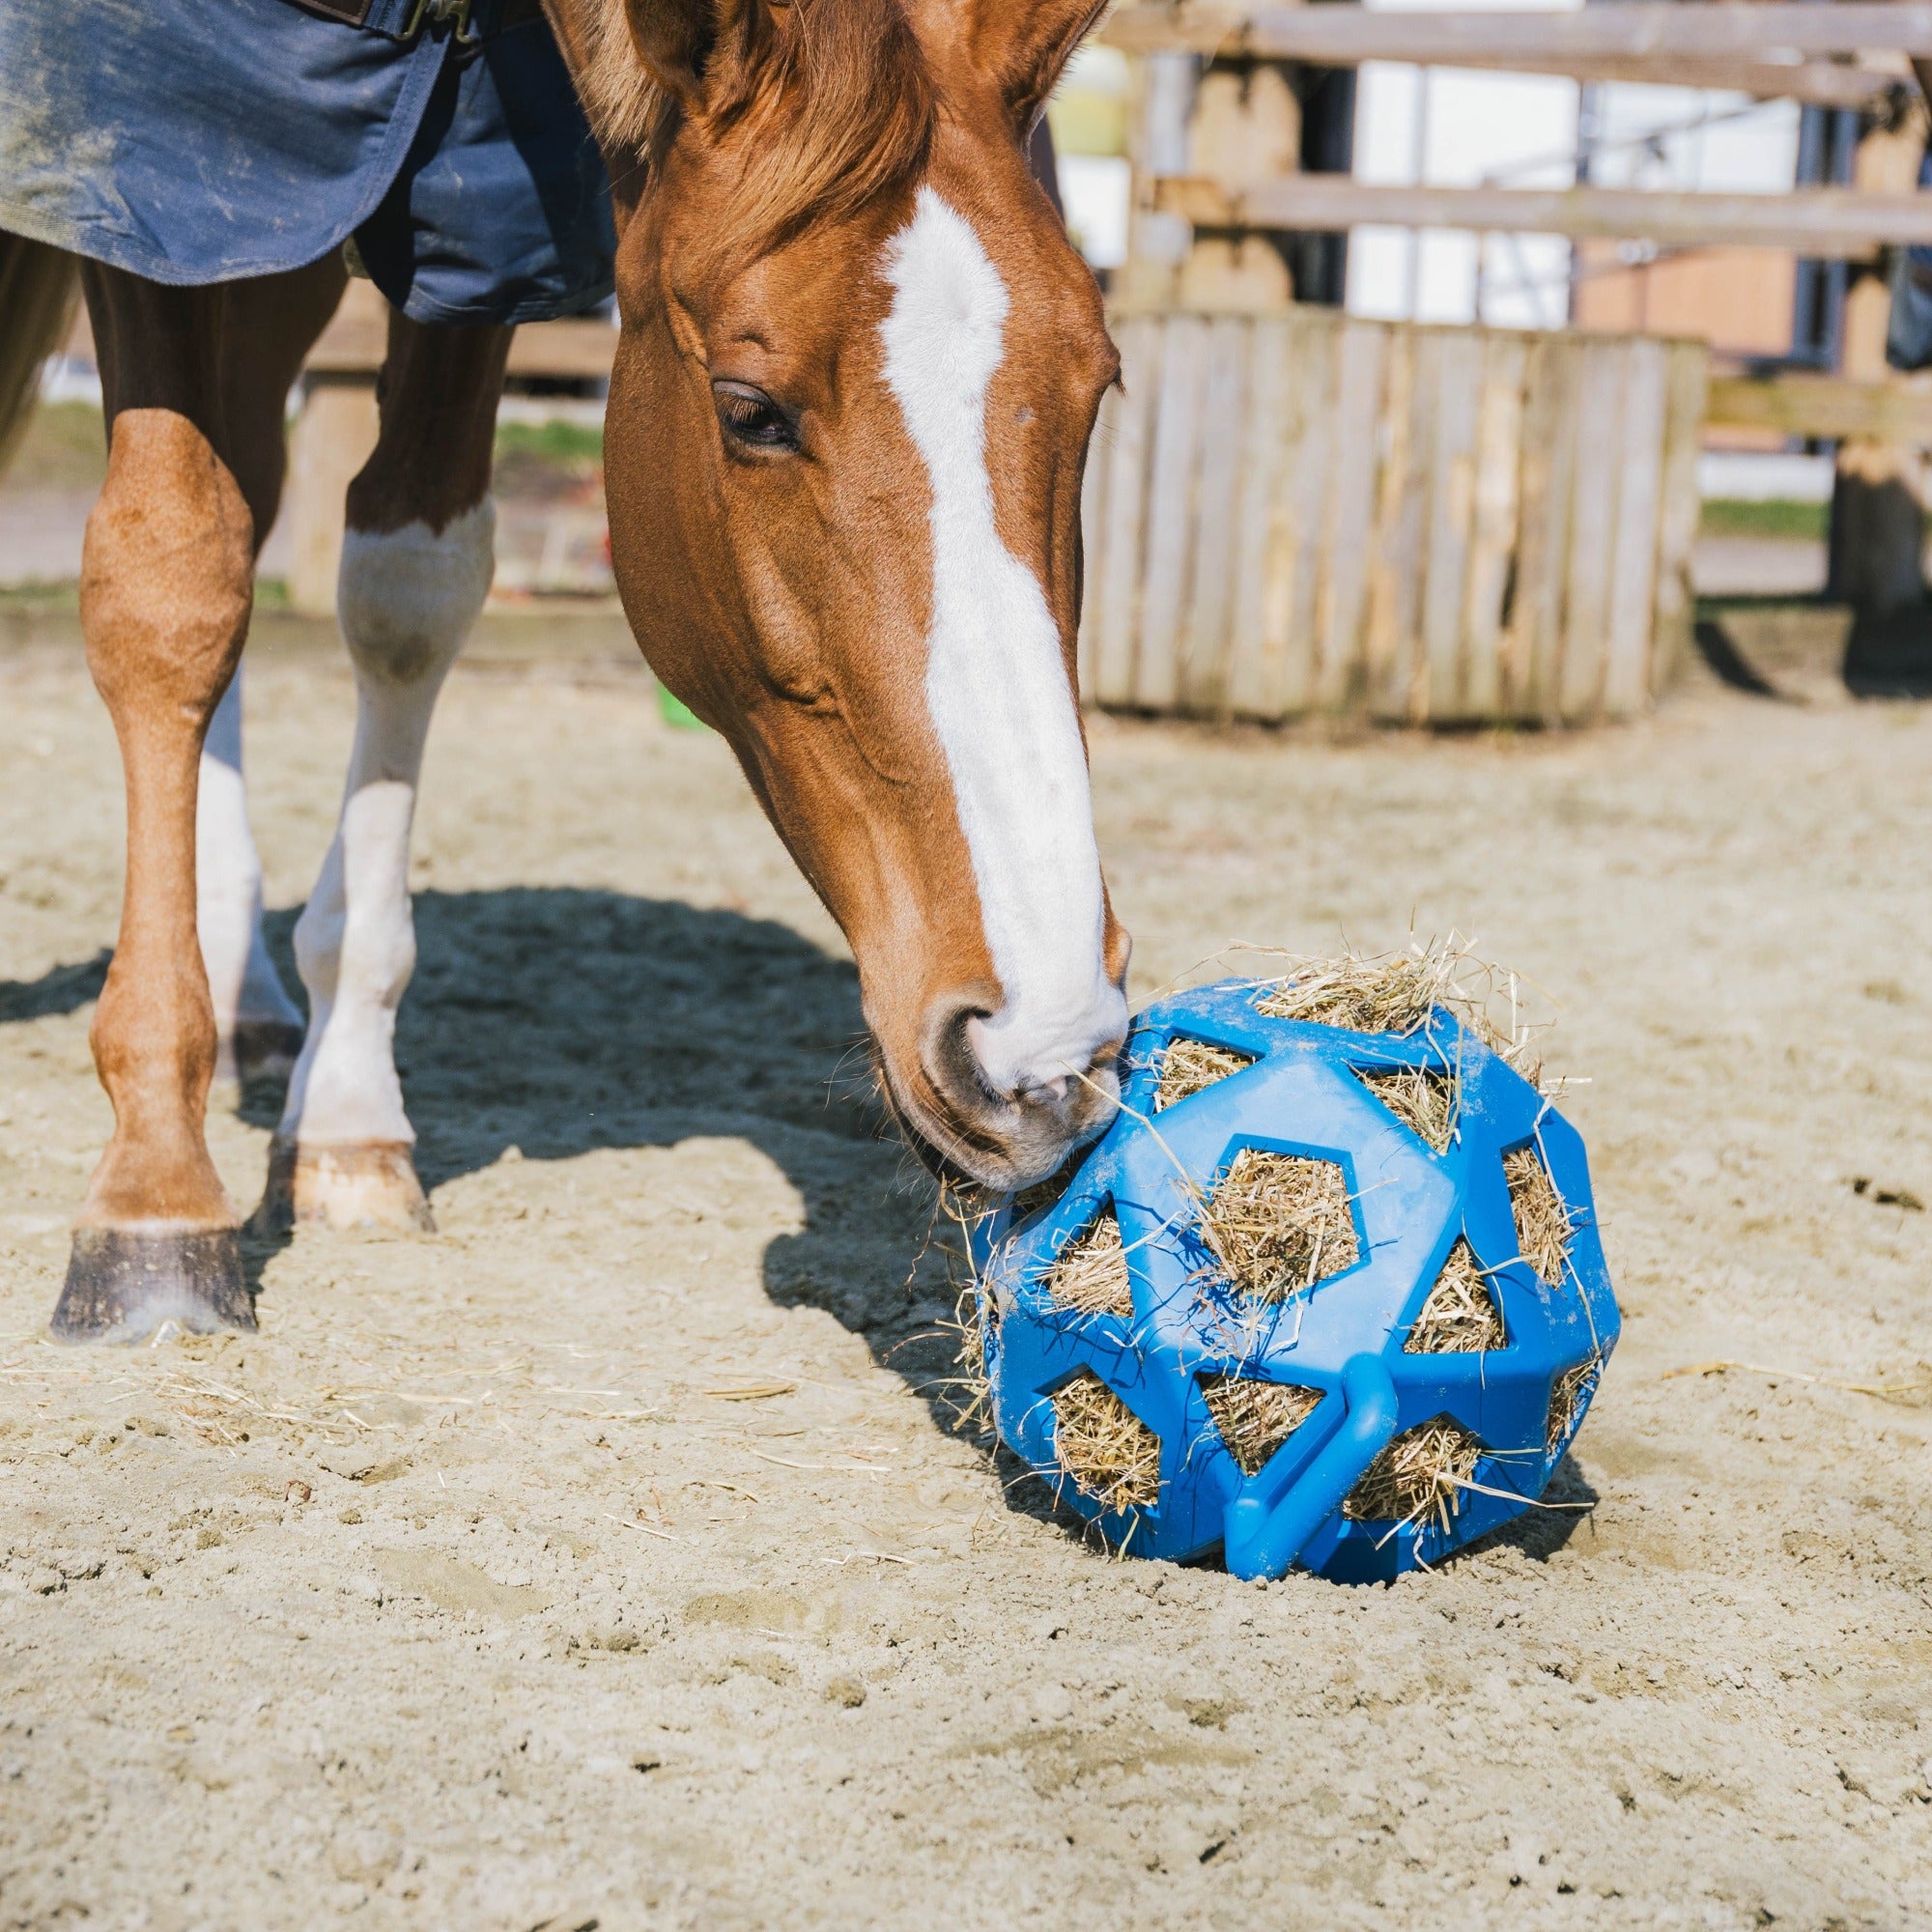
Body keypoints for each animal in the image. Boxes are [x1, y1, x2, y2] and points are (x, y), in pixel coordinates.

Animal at [0, 0, 1128, 1337]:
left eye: (1099, 387)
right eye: (751, 411)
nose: (1042, 1053)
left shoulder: (466, 225)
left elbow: (406, 588)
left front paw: (346, 1113)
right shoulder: (156, 178)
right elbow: (173, 582)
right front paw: (155, 1190)